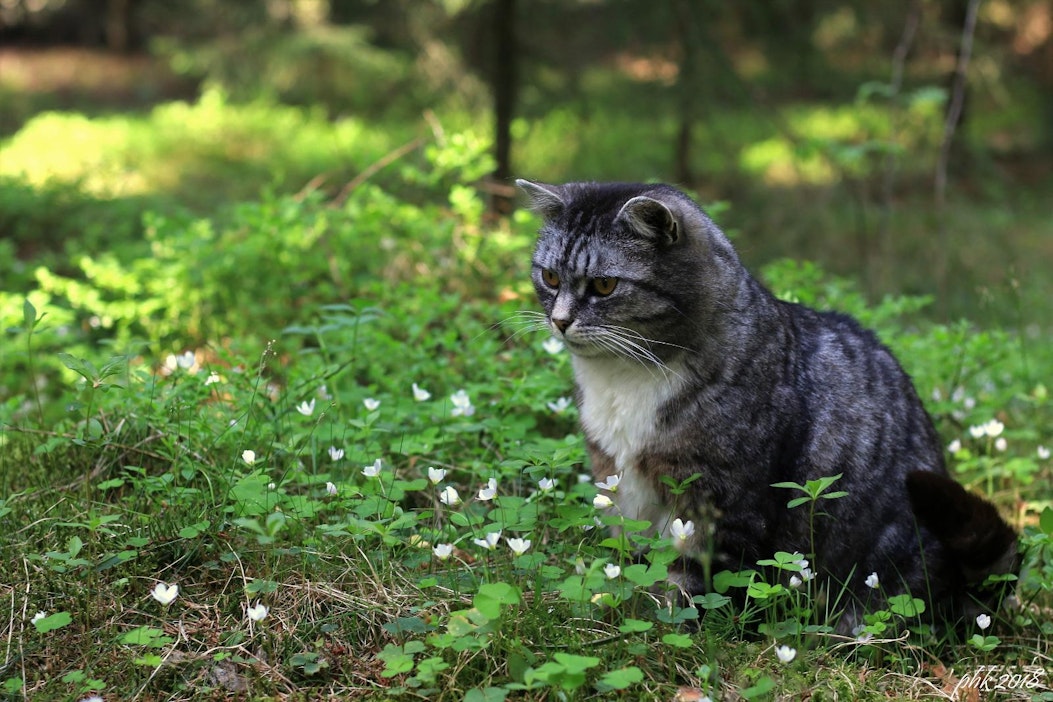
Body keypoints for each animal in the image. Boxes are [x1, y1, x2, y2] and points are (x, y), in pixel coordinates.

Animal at [518, 179, 1019, 631]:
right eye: (550, 277)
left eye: (604, 285)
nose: (559, 320)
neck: (622, 378)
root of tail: (969, 583)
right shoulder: (618, 481)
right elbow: (633, 563)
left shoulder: (724, 502)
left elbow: (695, 583)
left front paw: (672, 624)